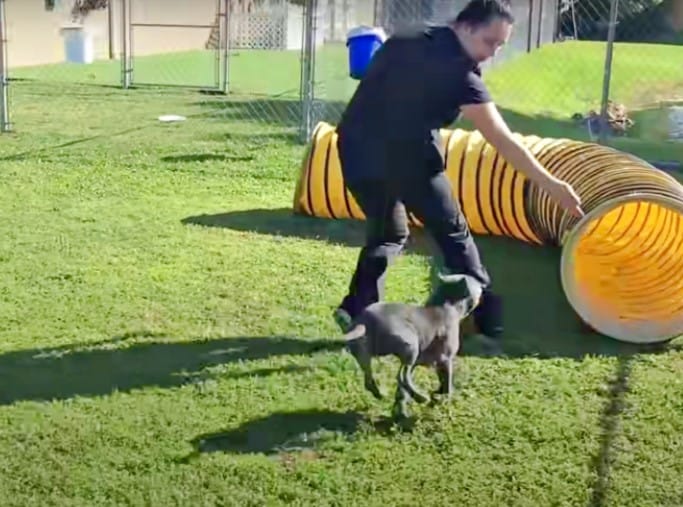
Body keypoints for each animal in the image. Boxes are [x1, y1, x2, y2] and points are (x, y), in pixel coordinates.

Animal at [342, 274, 480, 420]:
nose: (483, 283)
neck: (446, 305)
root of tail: (364, 322)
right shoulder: (445, 359)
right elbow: (447, 382)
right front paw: (444, 399)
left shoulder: (427, 362)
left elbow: (430, 383)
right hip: (411, 346)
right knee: (402, 376)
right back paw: (421, 397)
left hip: (365, 355)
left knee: (373, 380)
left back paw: (382, 394)